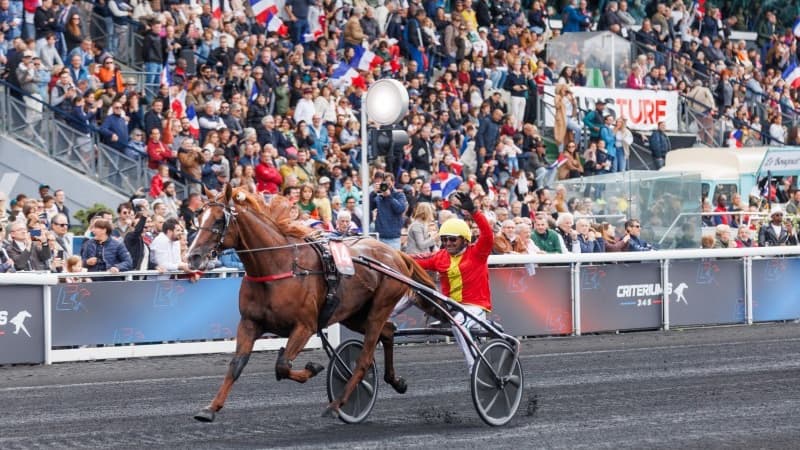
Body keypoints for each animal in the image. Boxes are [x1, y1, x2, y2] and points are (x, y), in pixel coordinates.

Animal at [185, 185, 440, 422]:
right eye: (199, 217)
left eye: (220, 219)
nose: (192, 257)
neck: (279, 266)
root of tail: (396, 254)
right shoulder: (249, 323)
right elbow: (236, 365)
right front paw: (210, 409)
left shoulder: (304, 326)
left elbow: (282, 365)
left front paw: (312, 368)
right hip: (355, 314)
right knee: (388, 331)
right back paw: (395, 381)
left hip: (380, 306)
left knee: (365, 359)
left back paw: (337, 404)